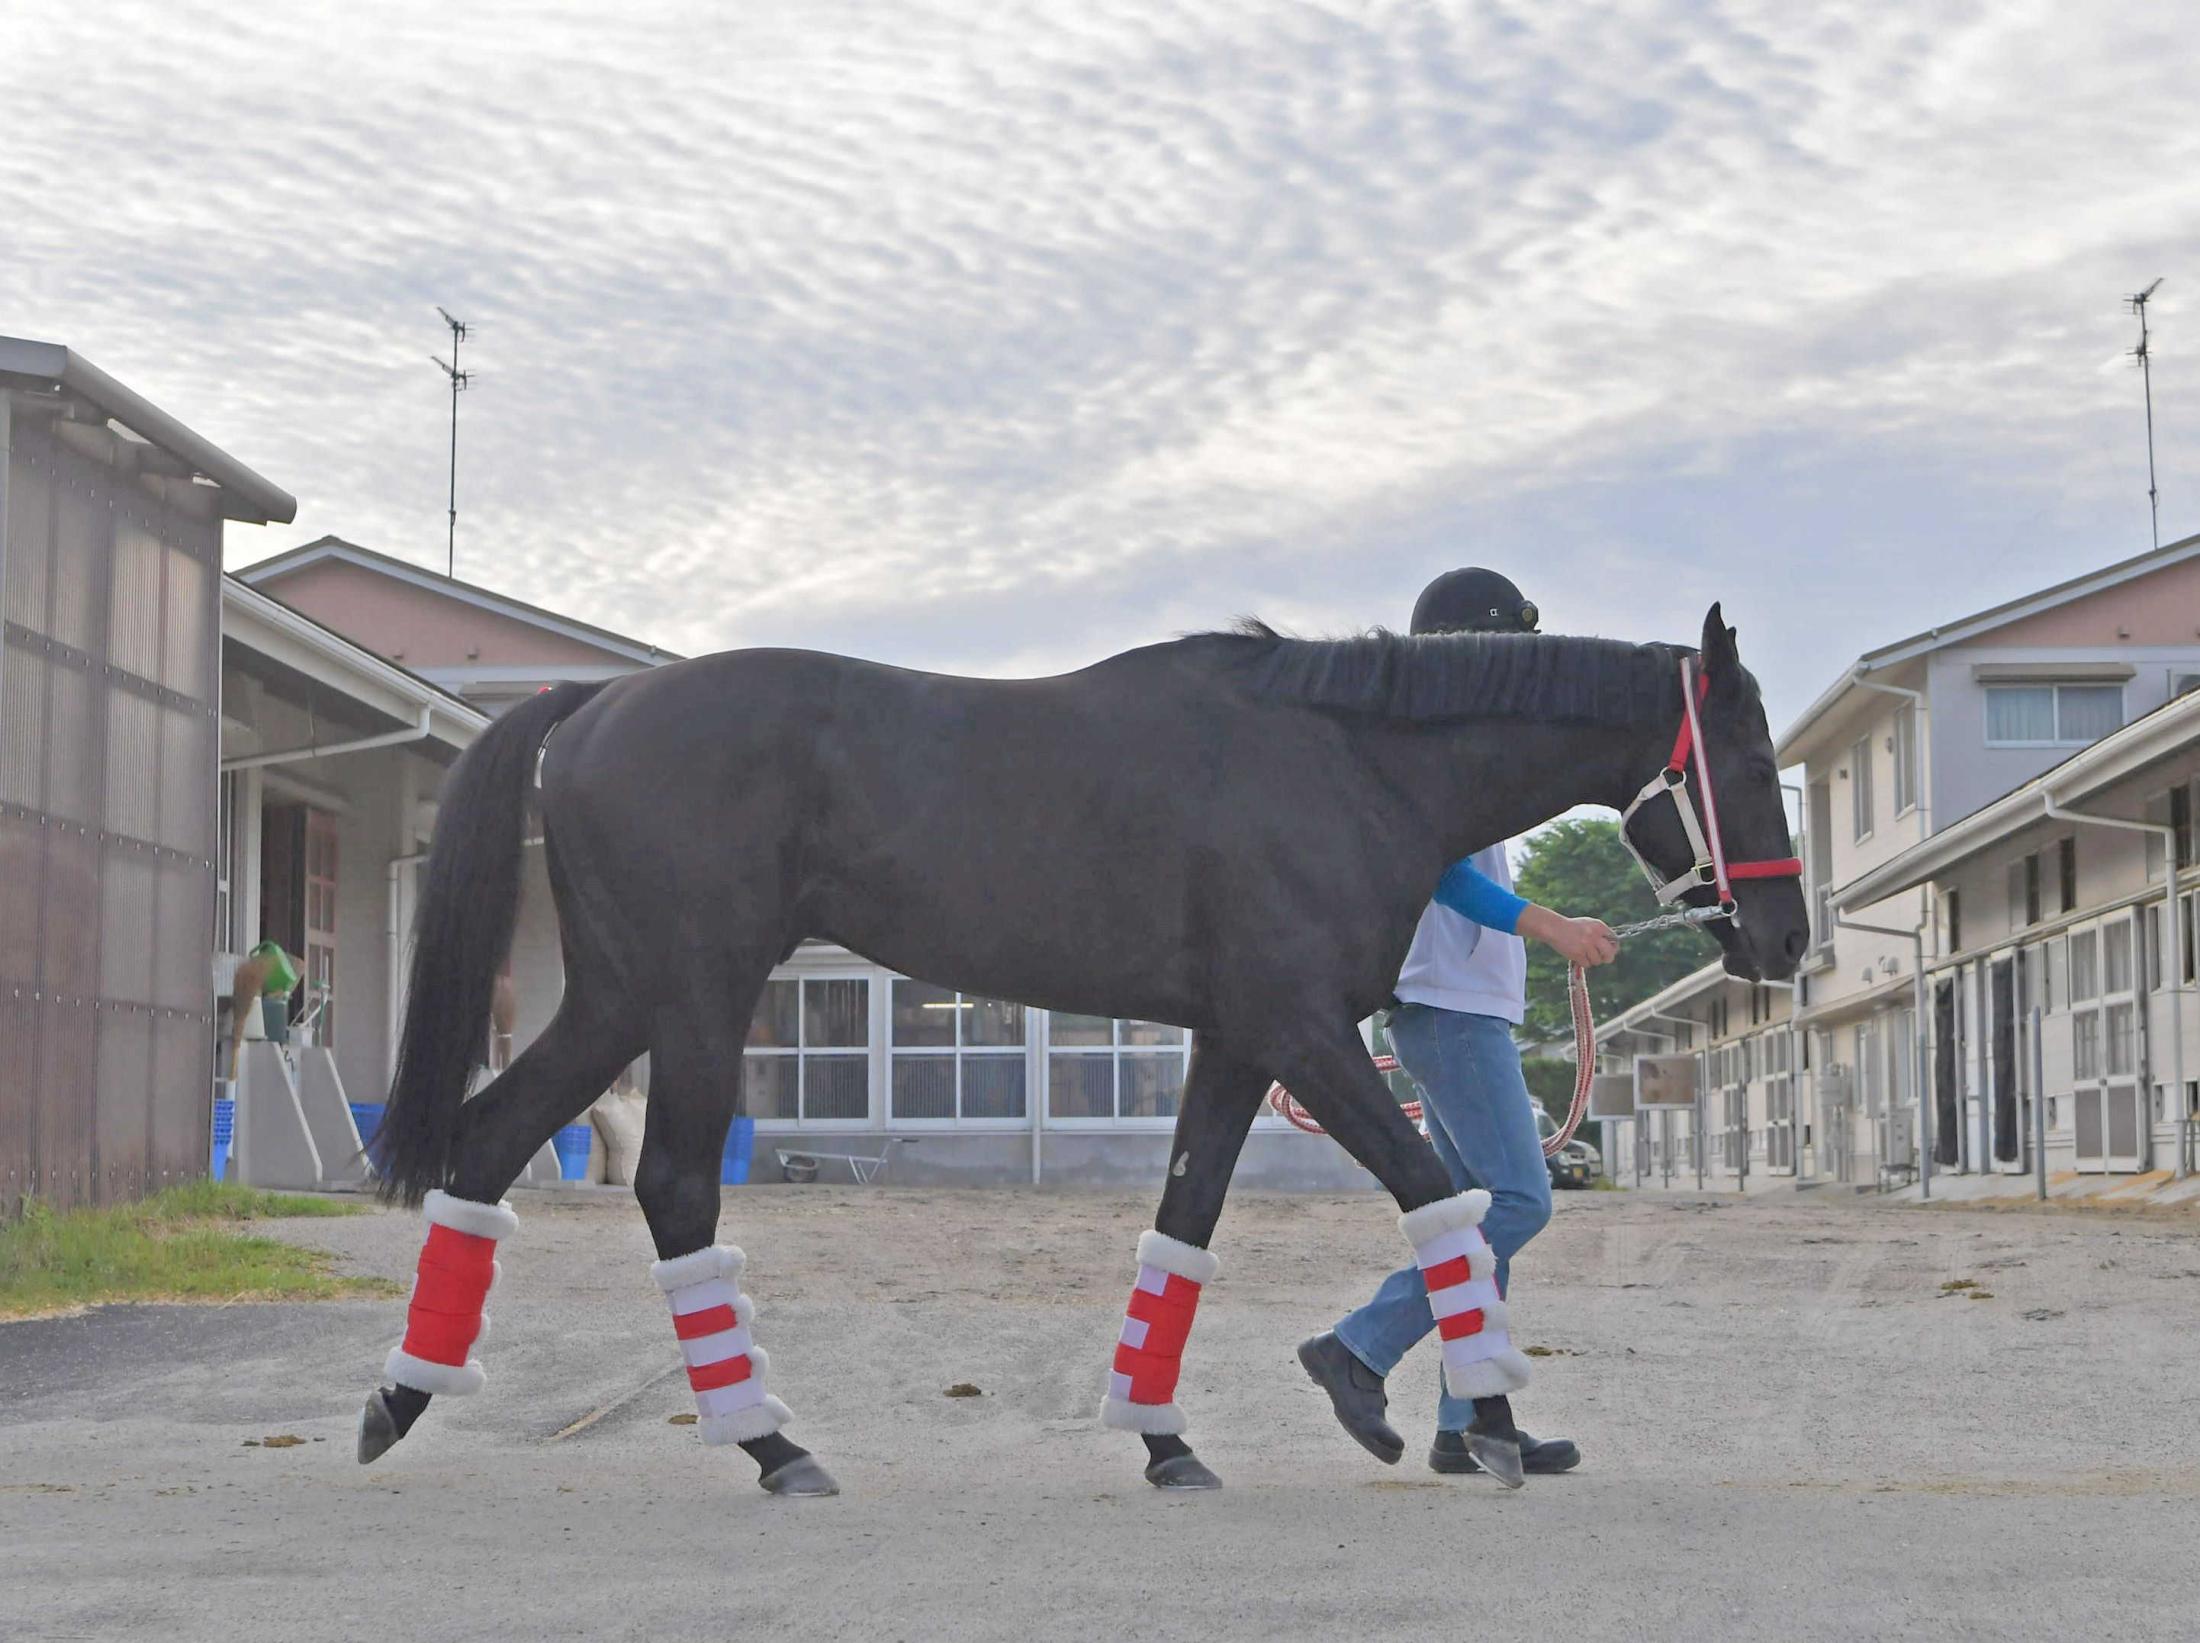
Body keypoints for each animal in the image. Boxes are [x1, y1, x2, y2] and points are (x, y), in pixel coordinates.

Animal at [356, 602, 1804, 1486]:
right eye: (1743, 760)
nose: (1785, 939)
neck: (1342, 760)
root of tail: (592, 704)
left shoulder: (1241, 1040)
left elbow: (1186, 1222)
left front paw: (1165, 1436)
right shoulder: (1303, 1028)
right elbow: (1442, 1198)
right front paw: (1480, 1416)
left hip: (618, 995)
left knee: (488, 1141)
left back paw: (399, 1398)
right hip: (697, 995)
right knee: (669, 1186)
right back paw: (767, 1441)